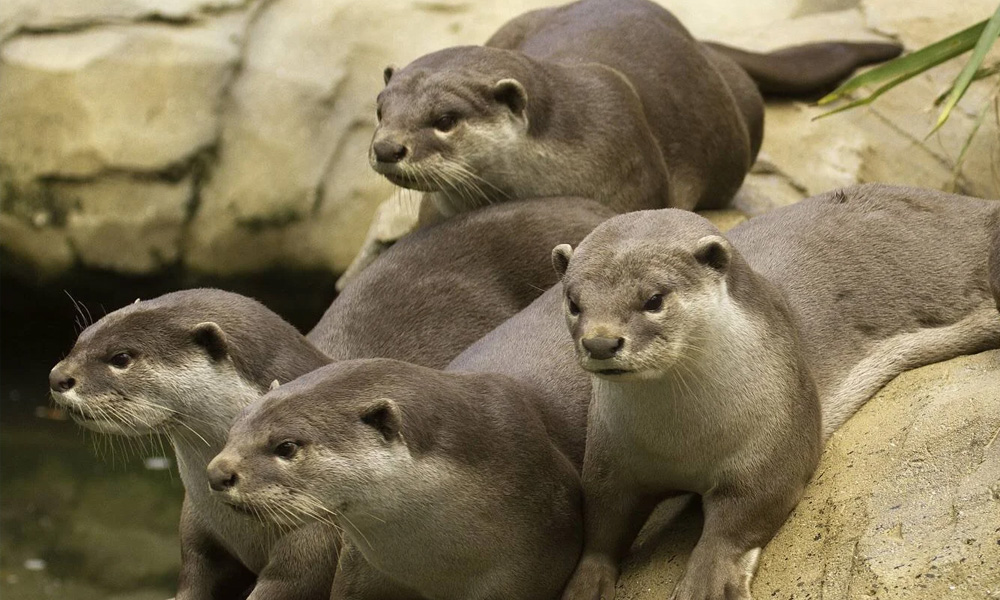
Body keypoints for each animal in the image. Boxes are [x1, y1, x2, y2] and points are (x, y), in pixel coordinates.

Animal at [552, 184, 1000, 600]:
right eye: (574, 303)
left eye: (654, 299)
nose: (600, 343)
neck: (681, 443)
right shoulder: (611, 456)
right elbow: (602, 520)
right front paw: (585, 584)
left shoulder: (776, 433)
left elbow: (746, 513)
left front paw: (707, 580)